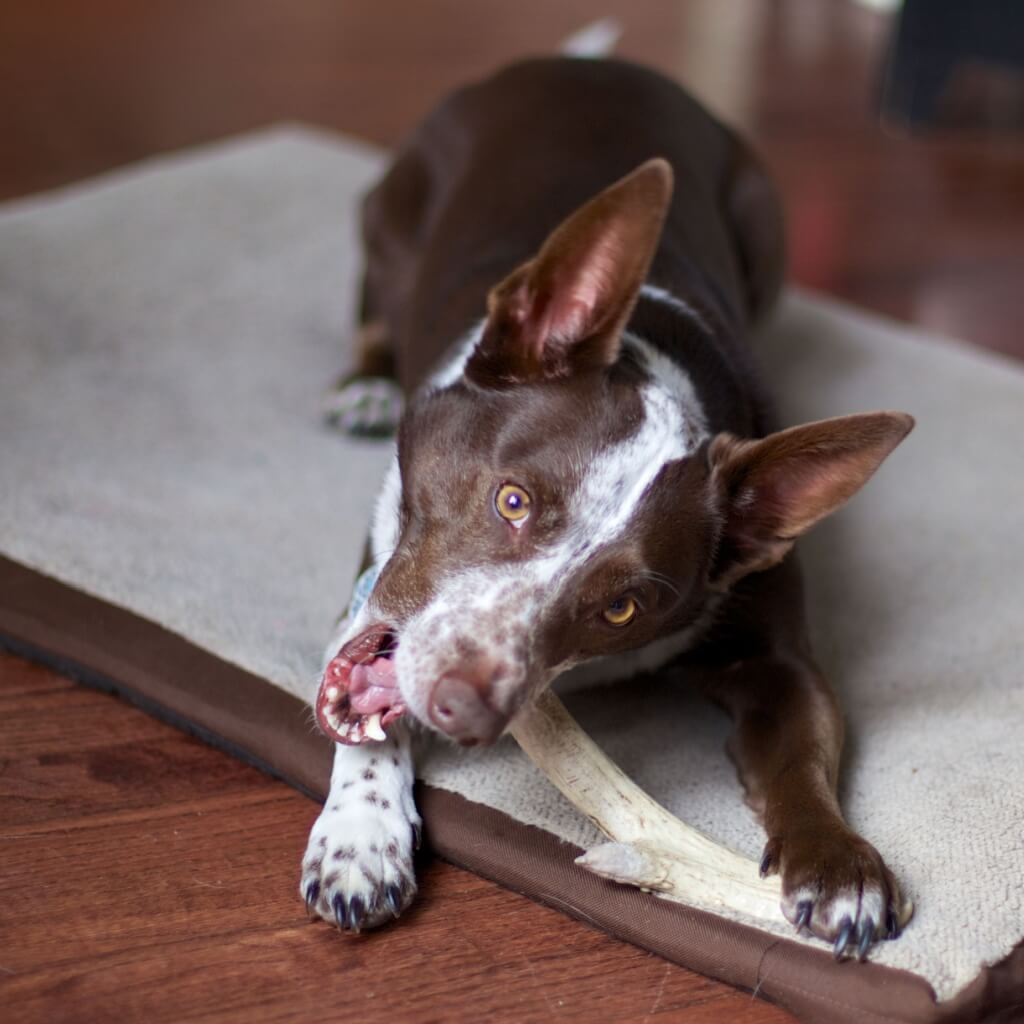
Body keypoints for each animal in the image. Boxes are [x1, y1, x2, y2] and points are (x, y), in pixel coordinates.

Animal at [301, 46, 913, 958]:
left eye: (622, 607)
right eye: (512, 501)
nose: (461, 705)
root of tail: (584, 60)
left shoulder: (777, 657)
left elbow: (803, 752)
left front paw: (840, 866)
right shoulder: (378, 580)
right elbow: (368, 716)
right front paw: (359, 838)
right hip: (392, 221)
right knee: (375, 310)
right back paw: (367, 385)